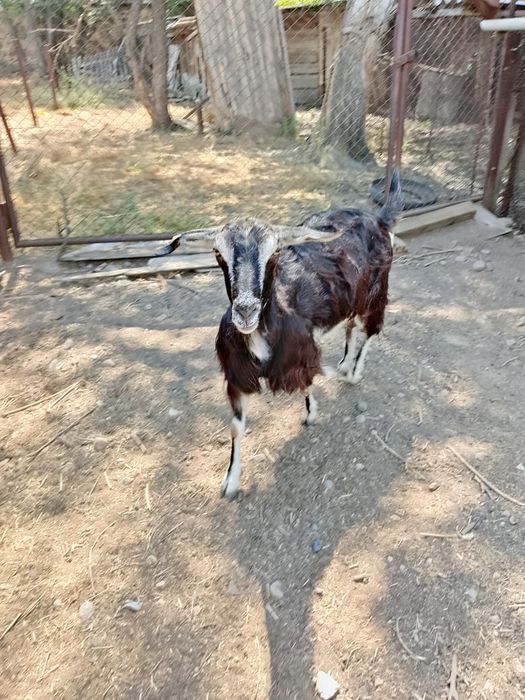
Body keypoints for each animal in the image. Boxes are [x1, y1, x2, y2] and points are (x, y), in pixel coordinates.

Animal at [157, 173, 401, 499]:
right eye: (218, 253)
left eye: (274, 252)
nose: (246, 310)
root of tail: (379, 217)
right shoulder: (238, 374)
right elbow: (236, 427)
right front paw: (230, 482)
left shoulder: (300, 354)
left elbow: (305, 382)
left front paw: (311, 414)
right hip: (353, 296)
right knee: (351, 326)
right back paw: (344, 365)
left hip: (377, 289)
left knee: (370, 329)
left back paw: (353, 372)